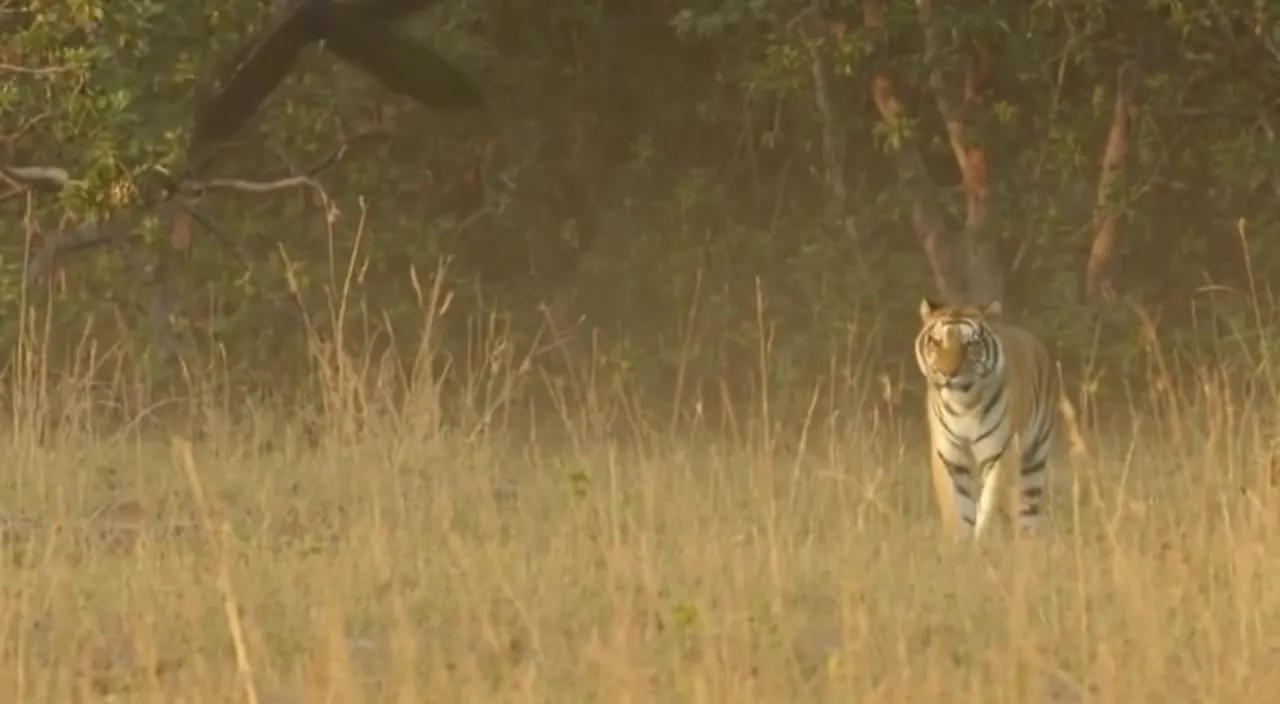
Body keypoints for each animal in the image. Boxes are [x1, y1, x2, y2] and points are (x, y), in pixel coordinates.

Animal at [913, 298, 1057, 541]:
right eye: (936, 342)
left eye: (970, 344)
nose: (948, 373)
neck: (964, 406)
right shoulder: (949, 453)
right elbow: (956, 504)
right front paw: (959, 540)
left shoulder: (1000, 451)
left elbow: (990, 500)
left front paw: (982, 537)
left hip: (1034, 460)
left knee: (1027, 510)